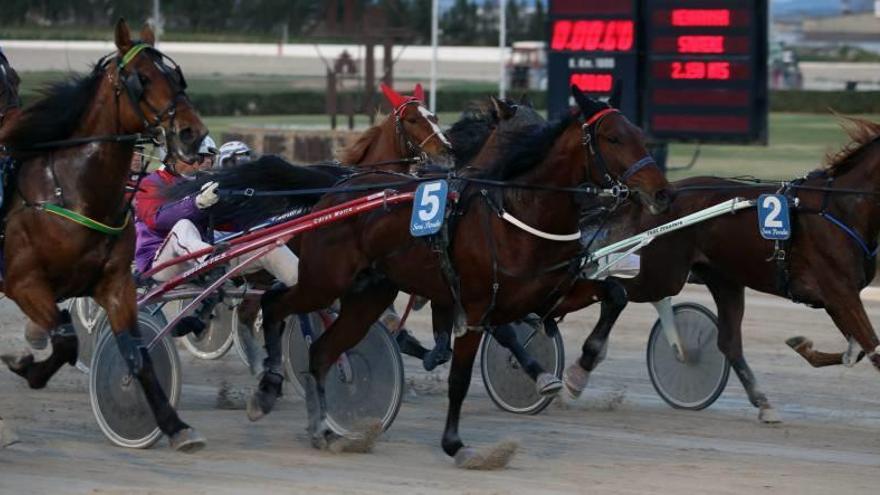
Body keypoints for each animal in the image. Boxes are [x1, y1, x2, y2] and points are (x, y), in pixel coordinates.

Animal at [0, 20, 209, 454]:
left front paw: (175, 424)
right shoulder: (23, 281)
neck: (73, 191)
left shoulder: (115, 284)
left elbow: (138, 354)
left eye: (175, 76)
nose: (191, 133)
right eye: (142, 78)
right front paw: (26, 366)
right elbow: (65, 339)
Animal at [220, 87, 668, 470]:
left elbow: (614, 294)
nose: (661, 193)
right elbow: (461, 377)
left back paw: (323, 430)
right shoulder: (474, 308)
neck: (519, 212)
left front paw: (577, 371)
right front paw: (456, 445)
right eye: (612, 138)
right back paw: (266, 388)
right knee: (273, 305)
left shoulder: (545, 294)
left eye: (639, 134)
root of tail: (334, 194)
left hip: (367, 296)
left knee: (321, 352)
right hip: (324, 280)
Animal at [564, 117, 880, 426]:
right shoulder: (839, 292)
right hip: (664, 274)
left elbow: (858, 349)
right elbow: (873, 349)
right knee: (614, 289)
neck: (842, 208)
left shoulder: (838, 298)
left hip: (723, 280)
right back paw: (579, 366)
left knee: (728, 342)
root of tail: (662, 195)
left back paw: (763, 403)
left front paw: (804, 346)